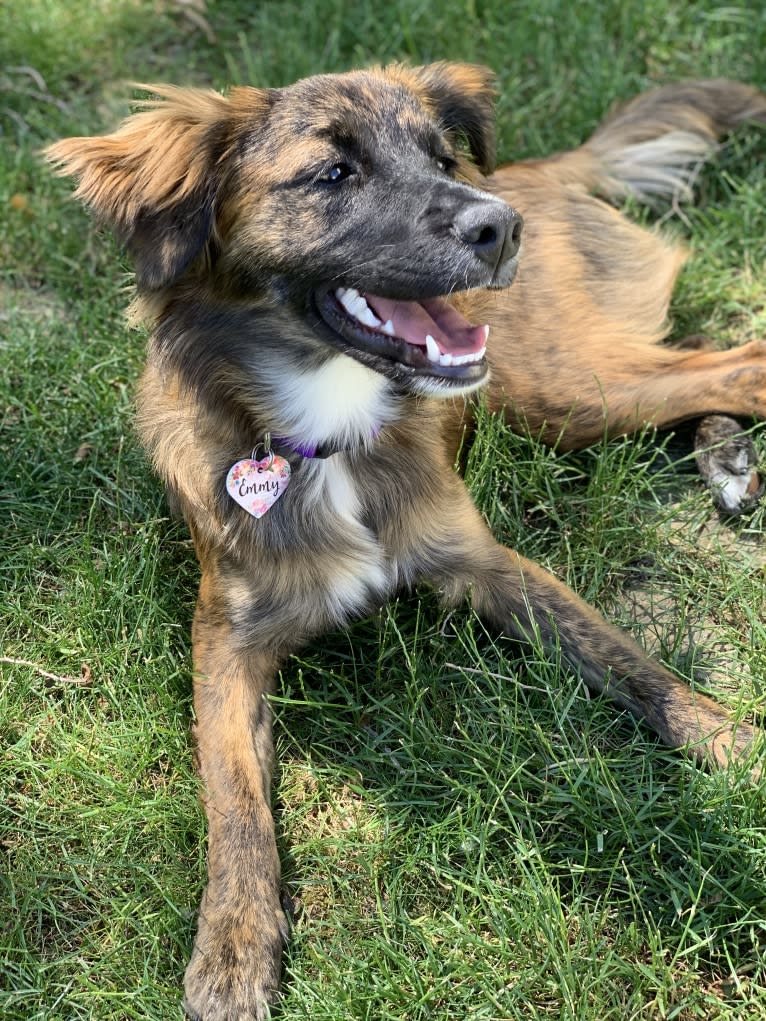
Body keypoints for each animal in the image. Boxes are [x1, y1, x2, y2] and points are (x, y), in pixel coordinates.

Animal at [49, 65, 766, 1021]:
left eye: (440, 158)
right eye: (331, 174)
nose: (499, 226)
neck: (329, 429)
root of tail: (534, 171)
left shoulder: (488, 563)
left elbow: (630, 659)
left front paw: (730, 740)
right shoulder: (225, 639)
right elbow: (233, 793)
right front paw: (233, 944)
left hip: (565, 389)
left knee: (739, 360)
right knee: (700, 354)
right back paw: (725, 453)